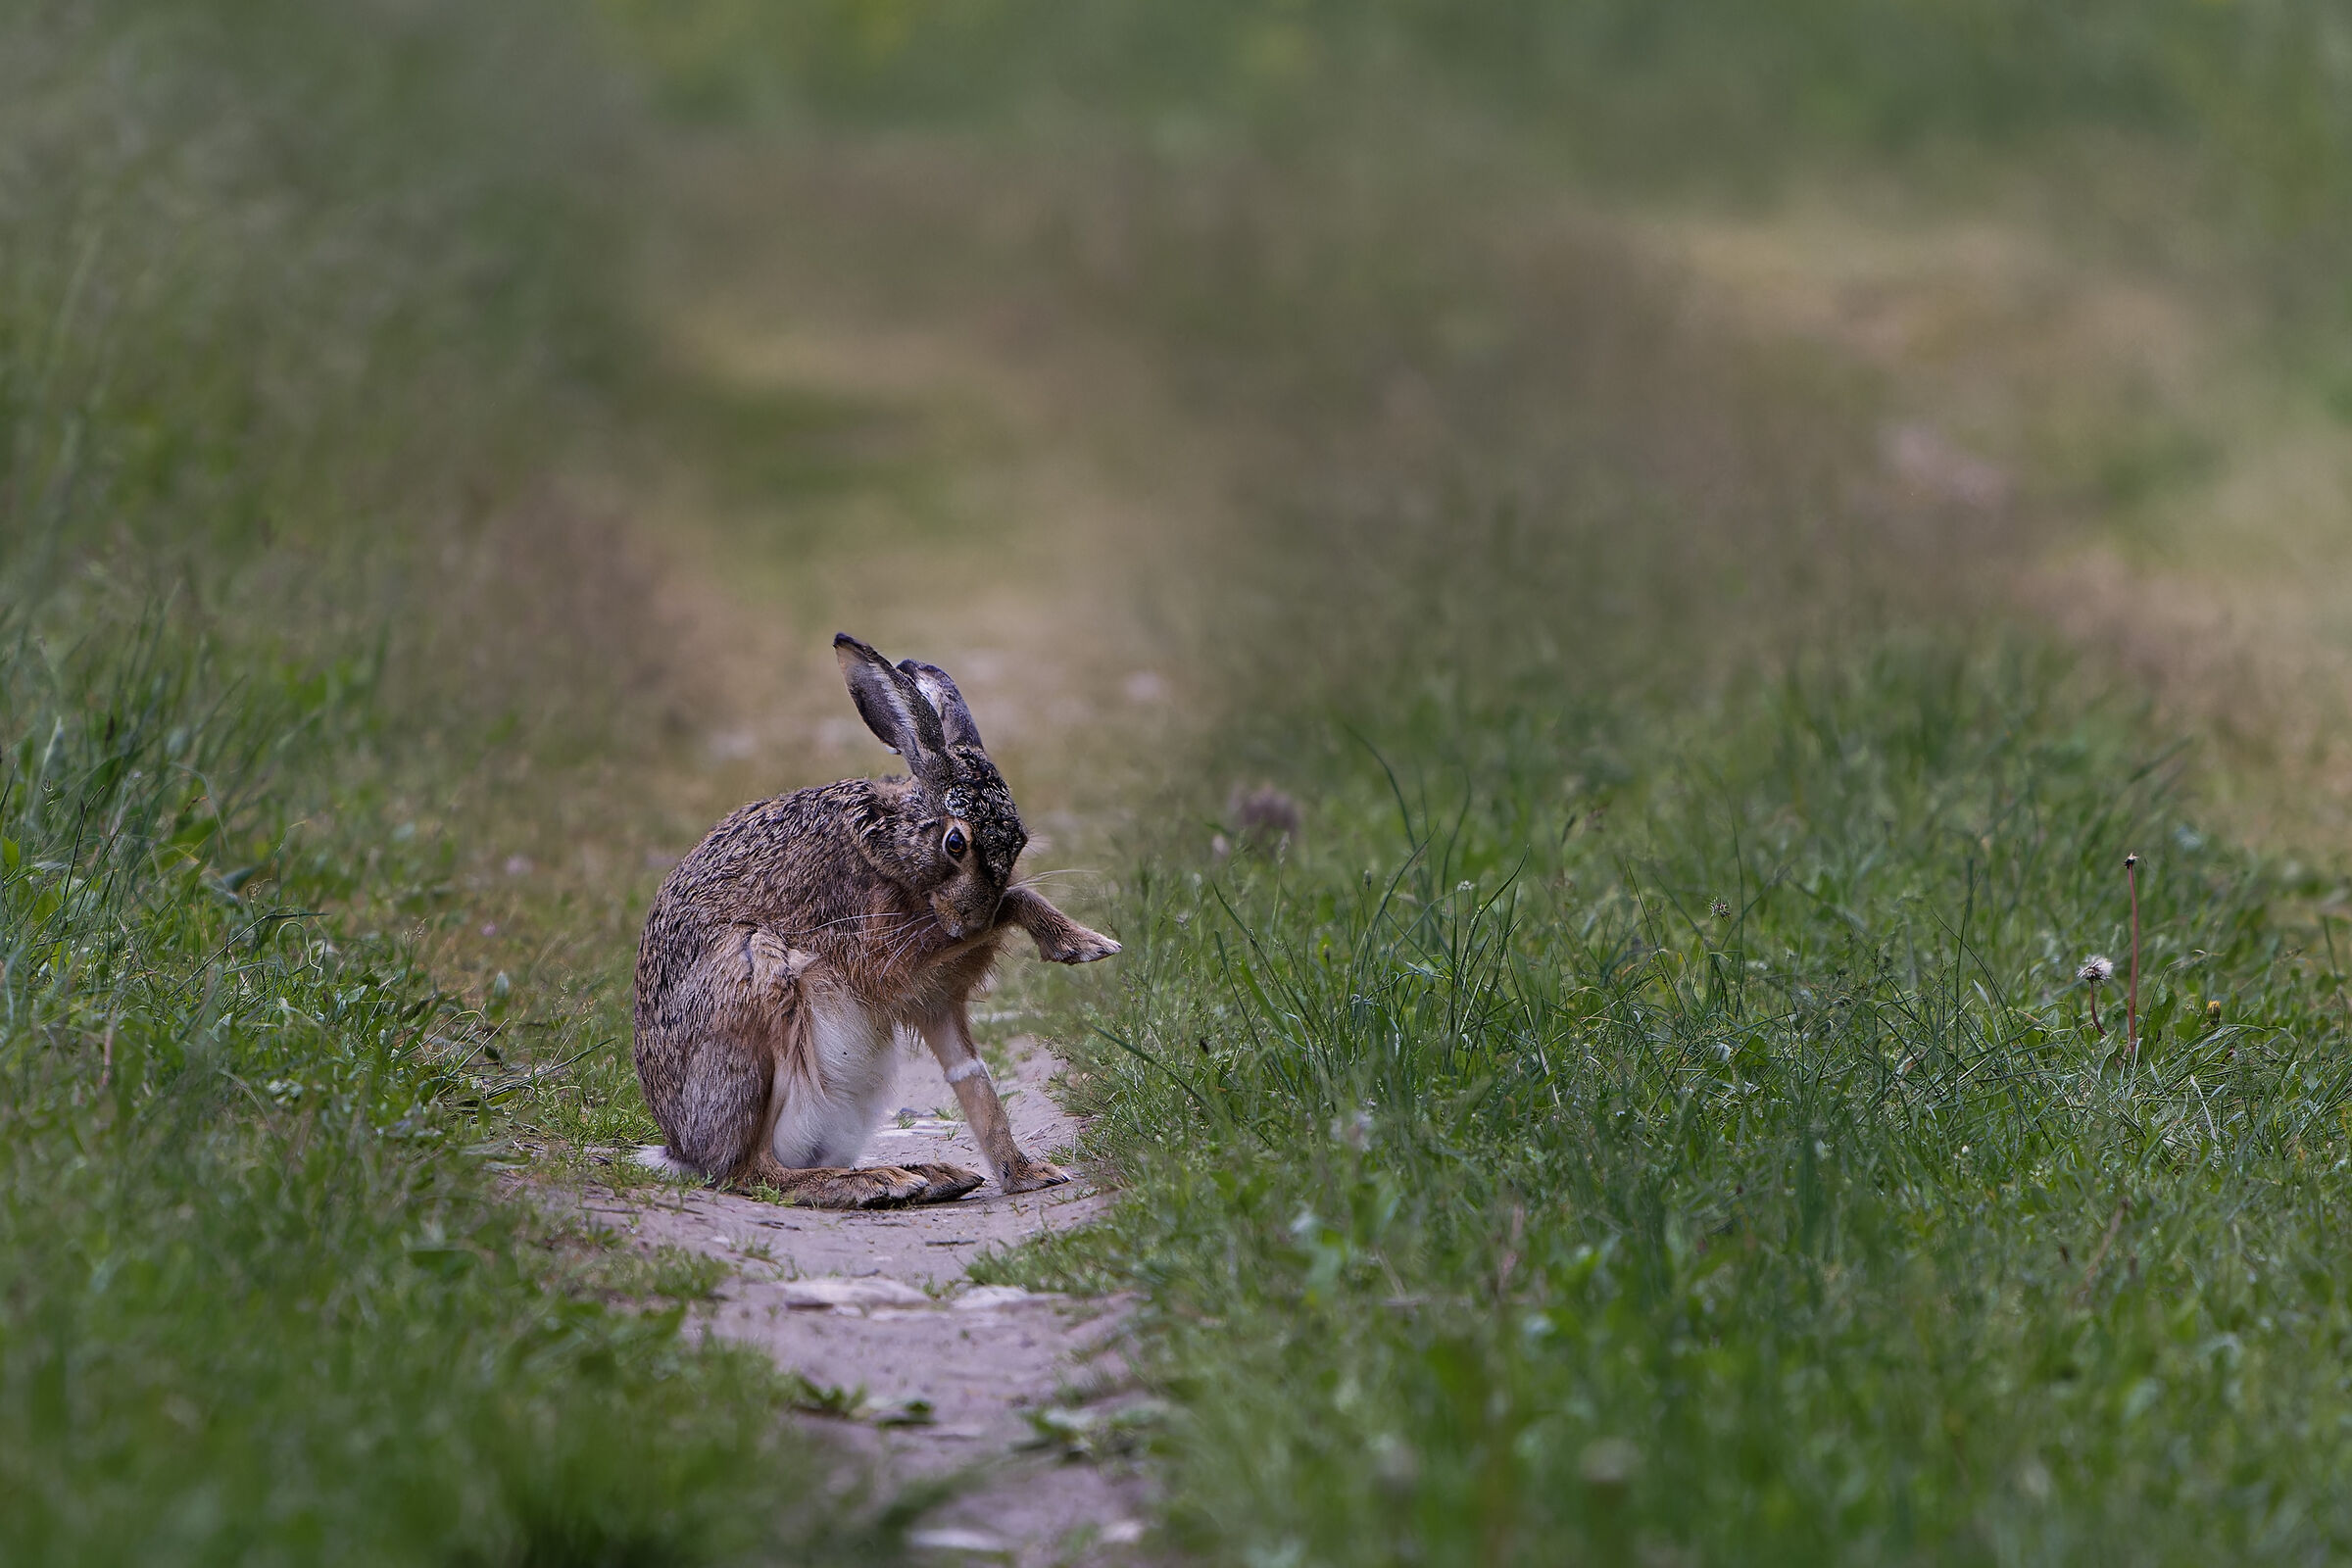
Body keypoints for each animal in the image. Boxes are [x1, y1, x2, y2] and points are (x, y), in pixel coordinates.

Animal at [630, 633, 1121, 1208]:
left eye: (1019, 839)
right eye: (956, 843)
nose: (971, 920)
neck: (895, 841)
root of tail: (681, 1149)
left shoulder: (937, 998)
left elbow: (973, 1078)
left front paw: (1029, 1175)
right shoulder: (881, 953)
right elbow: (1014, 900)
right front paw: (1084, 944)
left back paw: (932, 1176)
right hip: (754, 982)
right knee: (752, 1171)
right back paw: (874, 1183)